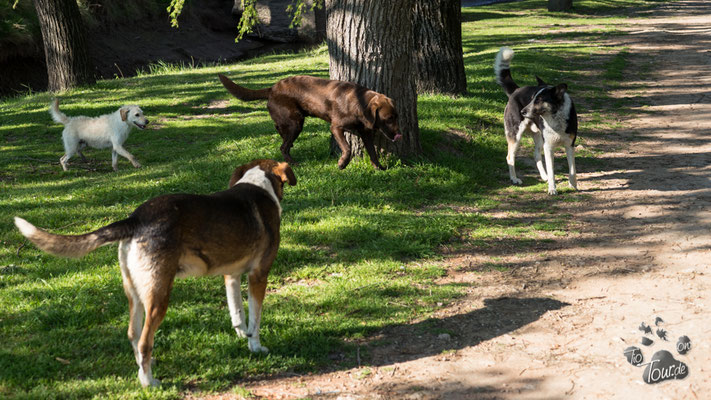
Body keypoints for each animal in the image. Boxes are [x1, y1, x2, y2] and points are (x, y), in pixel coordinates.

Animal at [13, 159, 298, 388]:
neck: (258, 184)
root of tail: (136, 218)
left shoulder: (232, 276)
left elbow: (237, 313)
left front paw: (242, 337)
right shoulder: (258, 275)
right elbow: (255, 319)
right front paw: (256, 346)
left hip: (136, 294)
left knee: (133, 335)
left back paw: (143, 374)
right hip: (159, 296)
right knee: (144, 342)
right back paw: (149, 383)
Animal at [496, 47, 580, 195]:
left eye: (539, 100)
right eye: (532, 98)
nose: (522, 111)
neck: (555, 118)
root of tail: (516, 90)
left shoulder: (570, 145)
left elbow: (572, 170)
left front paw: (573, 186)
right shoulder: (549, 147)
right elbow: (552, 171)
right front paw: (552, 189)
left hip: (539, 138)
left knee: (536, 155)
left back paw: (544, 176)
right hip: (516, 136)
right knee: (510, 157)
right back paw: (515, 179)